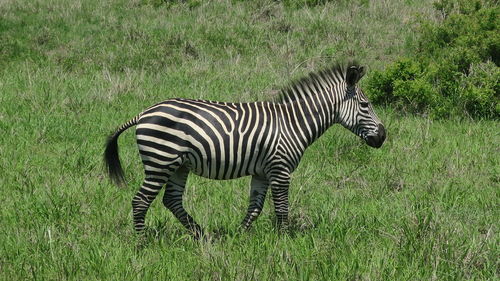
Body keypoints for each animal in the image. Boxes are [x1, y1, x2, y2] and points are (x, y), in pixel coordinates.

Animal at [104, 62, 386, 237]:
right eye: (365, 104)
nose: (383, 137)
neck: (293, 122)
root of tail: (143, 113)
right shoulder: (280, 169)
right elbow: (281, 207)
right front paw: (285, 240)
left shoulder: (262, 172)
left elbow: (255, 206)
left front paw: (240, 235)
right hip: (160, 161)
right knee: (141, 201)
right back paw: (142, 242)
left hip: (178, 166)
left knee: (171, 201)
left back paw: (202, 236)